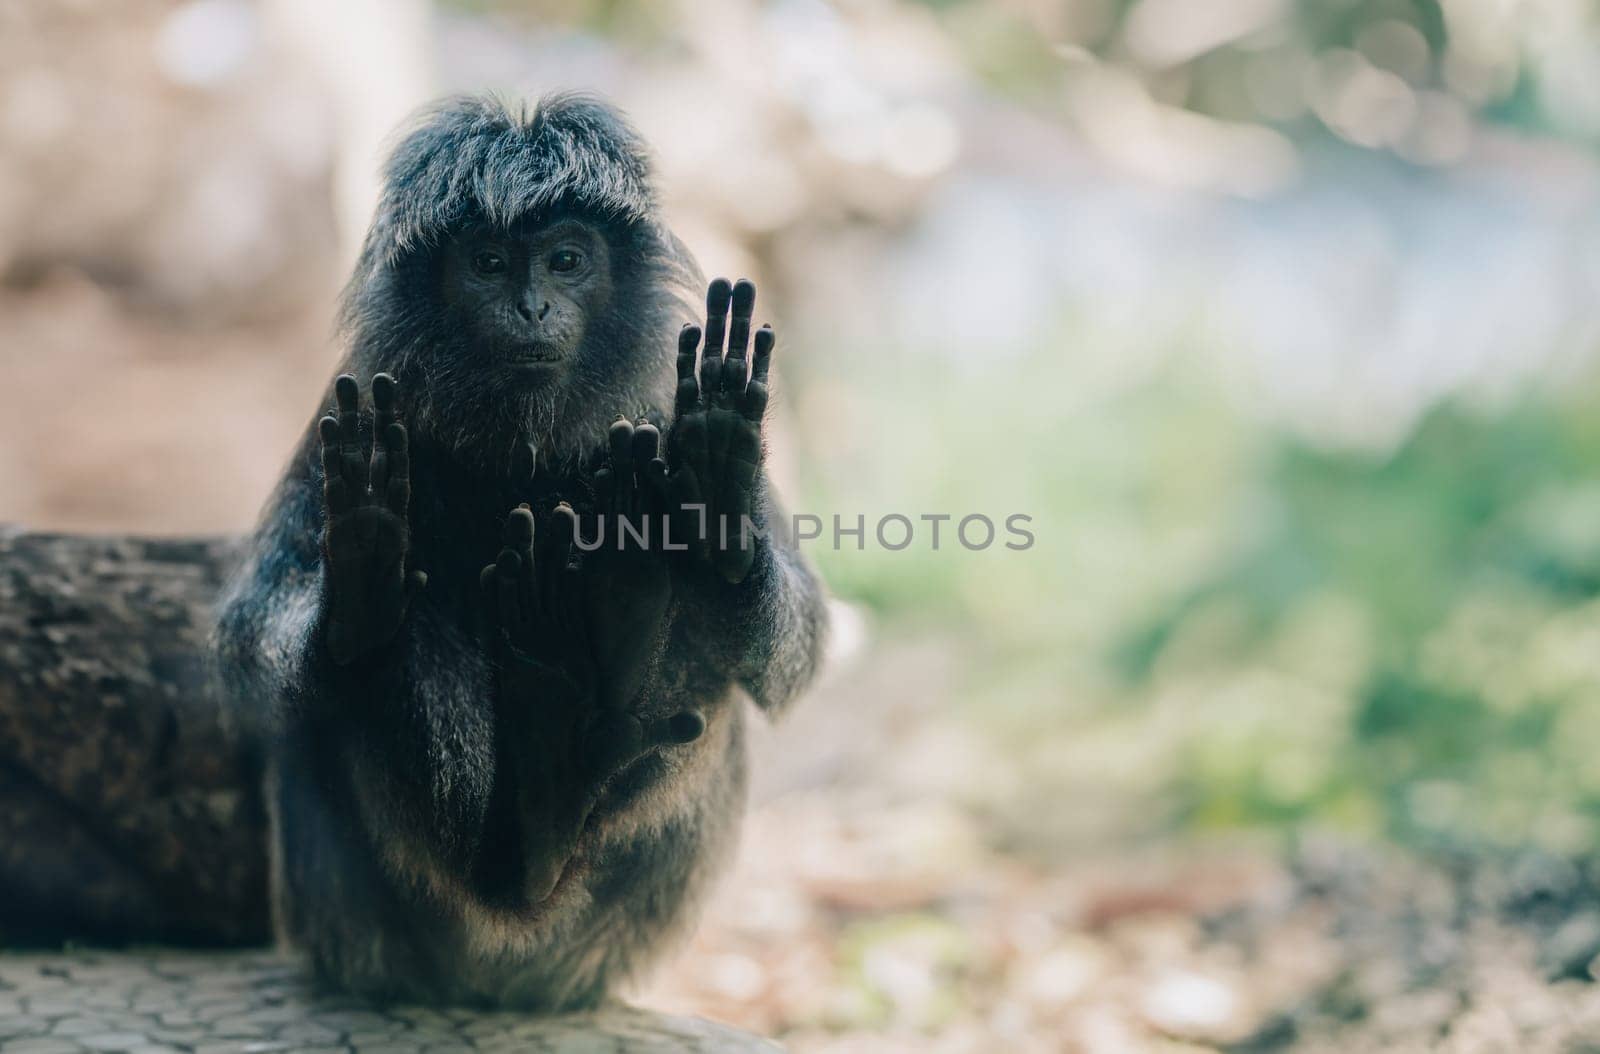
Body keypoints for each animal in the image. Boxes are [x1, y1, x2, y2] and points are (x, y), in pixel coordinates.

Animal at [214, 94, 832, 1010]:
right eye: (490, 263)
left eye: (567, 260)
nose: (534, 308)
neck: (529, 445)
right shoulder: (349, 405)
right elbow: (245, 644)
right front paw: (359, 582)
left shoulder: (656, 401)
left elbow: (797, 651)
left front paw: (716, 489)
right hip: (365, 935)